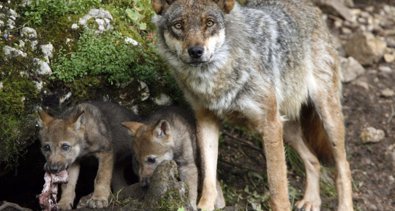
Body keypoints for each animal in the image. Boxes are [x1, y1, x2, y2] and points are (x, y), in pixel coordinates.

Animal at [152, 0, 356, 210]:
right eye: (178, 25)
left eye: (209, 23)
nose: (195, 52)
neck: (214, 80)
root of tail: (311, 7)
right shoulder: (206, 120)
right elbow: (208, 177)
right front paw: (204, 205)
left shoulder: (270, 125)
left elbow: (277, 188)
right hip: (287, 128)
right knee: (313, 160)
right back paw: (311, 201)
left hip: (326, 119)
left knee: (344, 167)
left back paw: (344, 205)